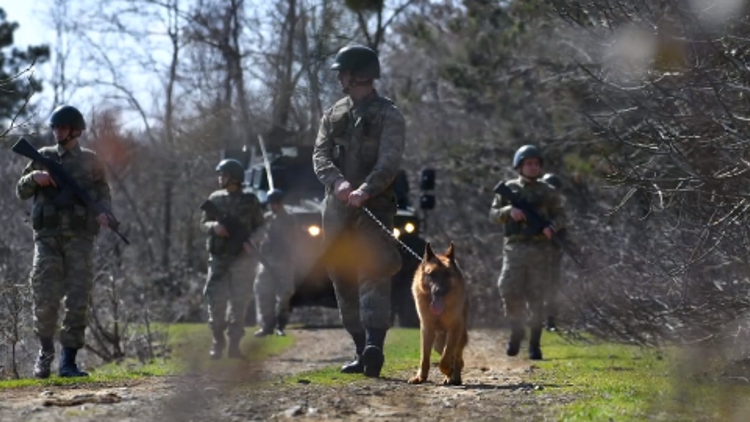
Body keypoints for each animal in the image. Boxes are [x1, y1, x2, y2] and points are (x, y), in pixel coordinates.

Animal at [408, 241, 468, 386]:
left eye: (447, 274)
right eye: (432, 274)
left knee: (457, 359)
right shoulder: (426, 329)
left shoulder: (454, 329)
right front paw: (421, 377)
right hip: (438, 343)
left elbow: (445, 359)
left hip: (458, 337)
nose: (439, 291)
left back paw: (454, 377)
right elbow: (424, 356)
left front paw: (449, 371)